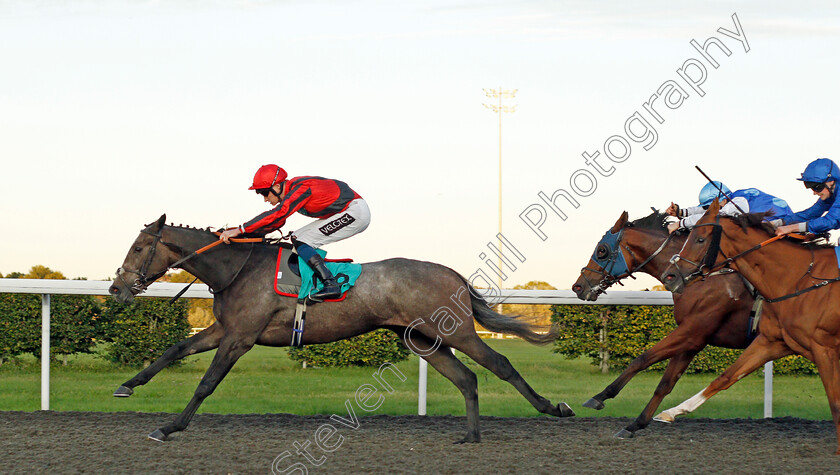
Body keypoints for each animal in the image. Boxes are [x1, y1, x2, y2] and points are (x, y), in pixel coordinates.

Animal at [108, 218, 576, 444]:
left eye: (138, 247)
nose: (116, 288)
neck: (236, 269)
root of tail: (453, 273)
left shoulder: (240, 338)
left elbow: (206, 384)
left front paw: (170, 427)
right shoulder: (225, 329)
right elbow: (174, 350)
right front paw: (127, 386)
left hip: (457, 333)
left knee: (500, 362)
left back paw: (553, 408)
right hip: (425, 341)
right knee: (467, 378)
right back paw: (471, 435)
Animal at [576, 211, 764, 438]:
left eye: (602, 250)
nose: (577, 286)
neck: (700, 277)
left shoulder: (692, 331)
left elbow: (641, 359)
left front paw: (601, 396)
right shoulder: (693, 340)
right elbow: (666, 383)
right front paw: (638, 423)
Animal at [660, 200, 840, 454]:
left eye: (700, 239)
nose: (669, 276)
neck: (801, 279)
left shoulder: (824, 348)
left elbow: (835, 402)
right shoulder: (773, 342)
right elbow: (725, 377)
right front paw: (670, 412)